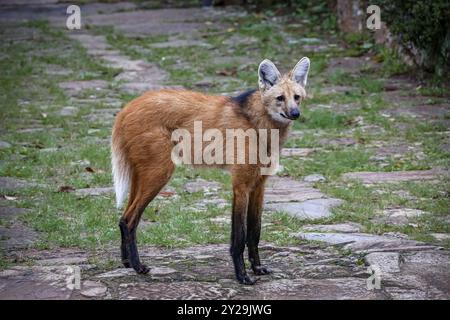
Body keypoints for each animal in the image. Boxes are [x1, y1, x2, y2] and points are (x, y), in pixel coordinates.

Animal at [110, 57, 312, 284]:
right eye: (280, 98)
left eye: (297, 97)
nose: (295, 113)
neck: (259, 125)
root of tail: (126, 108)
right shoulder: (241, 185)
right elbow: (240, 236)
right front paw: (242, 276)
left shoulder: (259, 185)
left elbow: (255, 231)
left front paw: (258, 268)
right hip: (160, 173)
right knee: (129, 220)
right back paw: (138, 267)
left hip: (143, 174)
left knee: (123, 218)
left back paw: (127, 262)